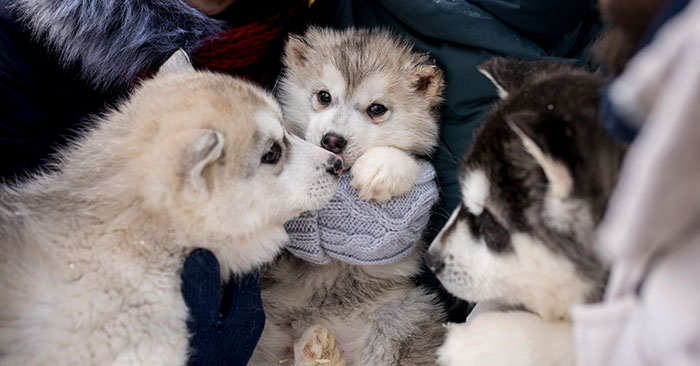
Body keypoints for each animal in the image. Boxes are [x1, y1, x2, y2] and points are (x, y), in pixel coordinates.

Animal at [252, 27, 446, 366]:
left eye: (377, 109)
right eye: (323, 96)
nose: (332, 140)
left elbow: (404, 158)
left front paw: (381, 166)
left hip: (409, 311)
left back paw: (318, 348)